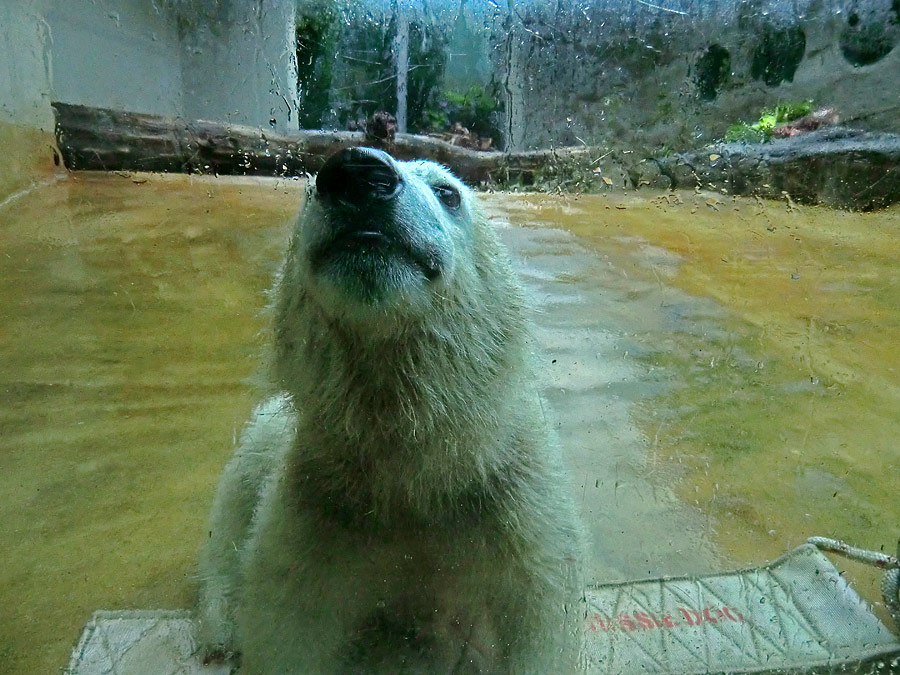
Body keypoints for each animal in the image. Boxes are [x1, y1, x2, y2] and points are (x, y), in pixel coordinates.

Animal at [197, 148, 584, 675]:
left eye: (447, 191)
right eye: (308, 190)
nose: (358, 174)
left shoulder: (511, 492)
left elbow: (538, 609)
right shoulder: (320, 501)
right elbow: (288, 620)